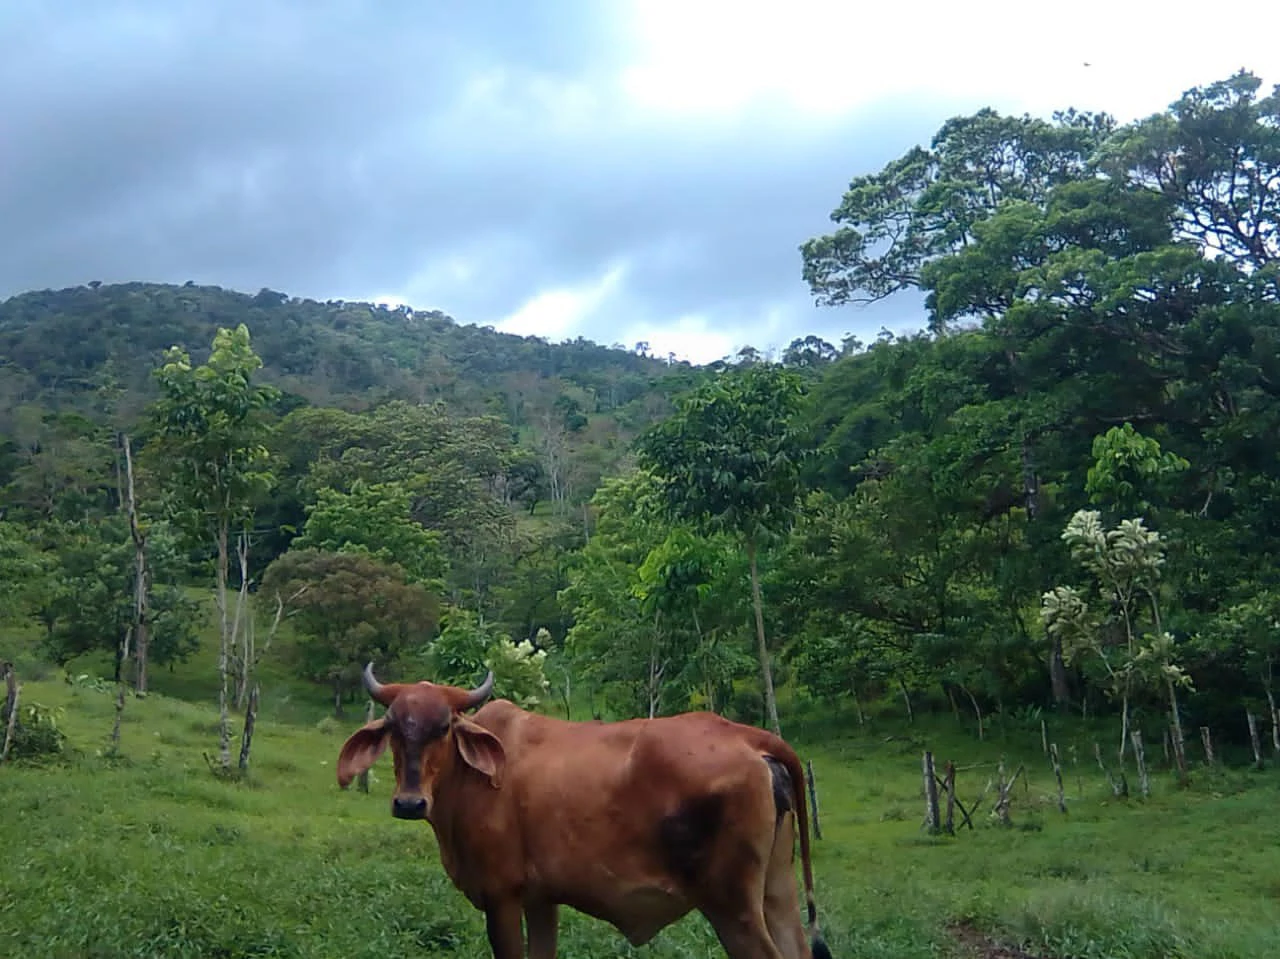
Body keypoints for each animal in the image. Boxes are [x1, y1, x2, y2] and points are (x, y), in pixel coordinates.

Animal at [336, 663, 835, 959]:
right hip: (776, 889)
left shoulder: (501, 896)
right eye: (394, 728)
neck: (469, 777)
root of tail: (749, 737)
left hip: (731, 906)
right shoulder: (540, 899)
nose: (409, 802)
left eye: (443, 727)